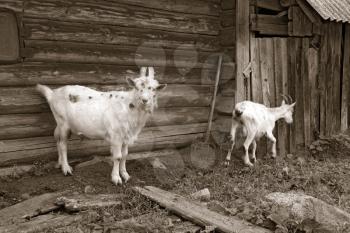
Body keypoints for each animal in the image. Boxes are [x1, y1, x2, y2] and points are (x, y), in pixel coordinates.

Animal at [36, 66, 167, 185]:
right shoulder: (116, 135)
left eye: (154, 89)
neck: (129, 106)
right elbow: (118, 156)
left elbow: (125, 155)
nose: (144, 100)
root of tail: (52, 94)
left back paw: (60, 164)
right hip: (63, 122)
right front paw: (116, 178)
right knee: (63, 145)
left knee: (58, 140)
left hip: (60, 123)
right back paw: (66, 169)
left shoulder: (126, 136)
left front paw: (125, 174)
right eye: (136, 87)